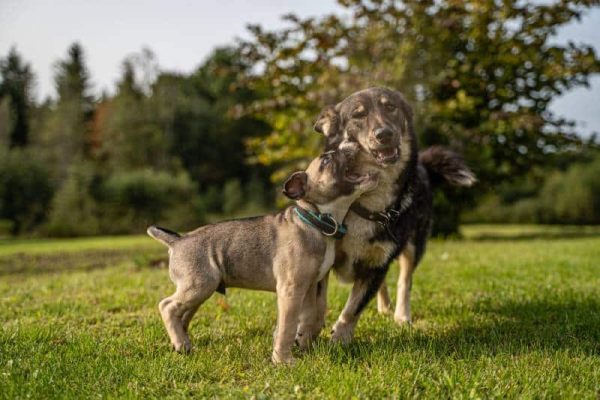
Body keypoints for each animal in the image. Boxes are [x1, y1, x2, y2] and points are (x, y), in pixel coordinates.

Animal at [147, 148, 378, 366]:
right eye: (326, 160)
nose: (348, 147)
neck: (316, 219)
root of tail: (177, 240)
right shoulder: (291, 290)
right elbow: (287, 326)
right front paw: (283, 360)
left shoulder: (309, 287)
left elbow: (309, 317)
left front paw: (305, 347)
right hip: (200, 285)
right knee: (167, 306)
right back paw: (181, 343)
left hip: (200, 289)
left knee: (182, 313)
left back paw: (182, 342)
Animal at [308, 86, 476, 342]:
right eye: (358, 115)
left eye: (390, 107)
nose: (384, 134)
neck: (365, 202)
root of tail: (424, 166)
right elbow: (318, 304)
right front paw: (310, 332)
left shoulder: (378, 263)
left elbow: (353, 308)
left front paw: (340, 339)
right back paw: (384, 307)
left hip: (414, 245)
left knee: (404, 281)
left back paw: (401, 315)